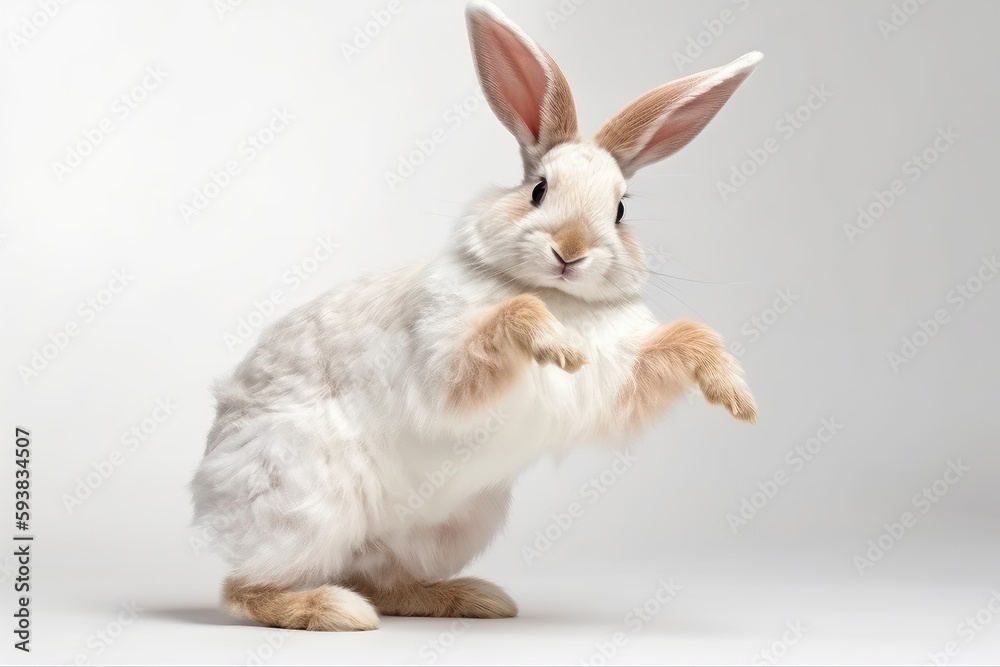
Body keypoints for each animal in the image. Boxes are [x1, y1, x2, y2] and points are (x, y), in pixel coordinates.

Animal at [191, 0, 761, 632]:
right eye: (538, 190)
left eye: (618, 211)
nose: (571, 250)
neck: (556, 295)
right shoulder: (445, 363)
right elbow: (510, 317)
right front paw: (559, 347)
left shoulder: (621, 377)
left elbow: (687, 336)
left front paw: (736, 396)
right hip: (305, 506)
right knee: (248, 588)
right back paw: (337, 610)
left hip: (453, 524)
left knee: (384, 580)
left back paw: (473, 598)